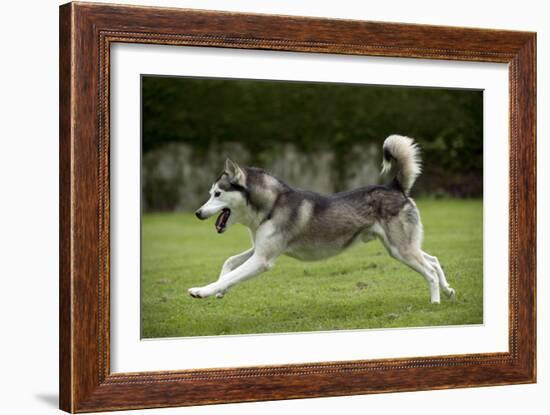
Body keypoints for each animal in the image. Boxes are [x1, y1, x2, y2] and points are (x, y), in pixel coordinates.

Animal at [190, 135, 458, 304]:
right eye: (210, 193)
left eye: (217, 194)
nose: (197, 213)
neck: (272, 205)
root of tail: (394, 187)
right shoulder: (259, 250)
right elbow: (229, 263)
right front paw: (221, 290)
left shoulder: (262, 260)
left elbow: (231, 272)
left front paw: (202, 291)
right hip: (400, 248)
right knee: (434, 261)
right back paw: (448, 291)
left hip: (401, 250)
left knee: (429, 271)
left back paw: (435, 302)